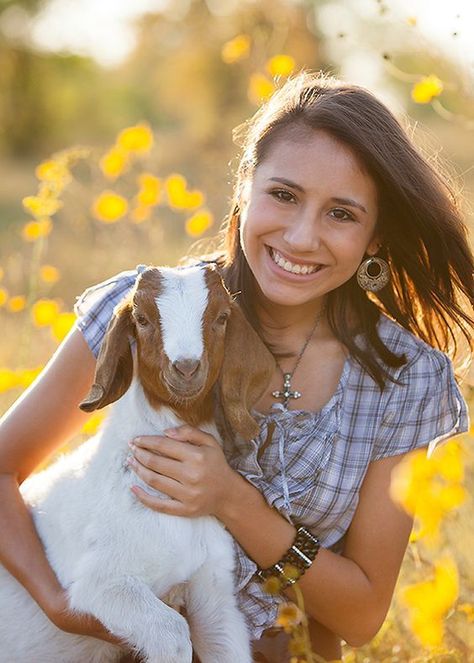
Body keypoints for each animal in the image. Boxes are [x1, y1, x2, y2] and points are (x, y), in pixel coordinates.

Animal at [0, 264, 274, 663]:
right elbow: (173, 632)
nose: (186, 368)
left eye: (222, 317)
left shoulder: (213, 591)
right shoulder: (103, 585)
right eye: (142, 319)